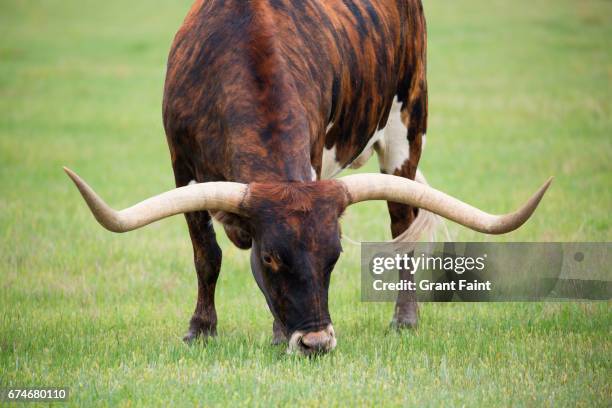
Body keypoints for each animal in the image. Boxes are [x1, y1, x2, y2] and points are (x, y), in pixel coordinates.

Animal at [64, 0, 552, 356]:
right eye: (270, 258)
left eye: (334, 257)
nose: (316, 342)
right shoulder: (182, 168)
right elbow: (207, 257)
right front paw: (200, 331)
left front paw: (278, 334)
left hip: (407, 130)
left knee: (403, 229)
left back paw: (404, 320)